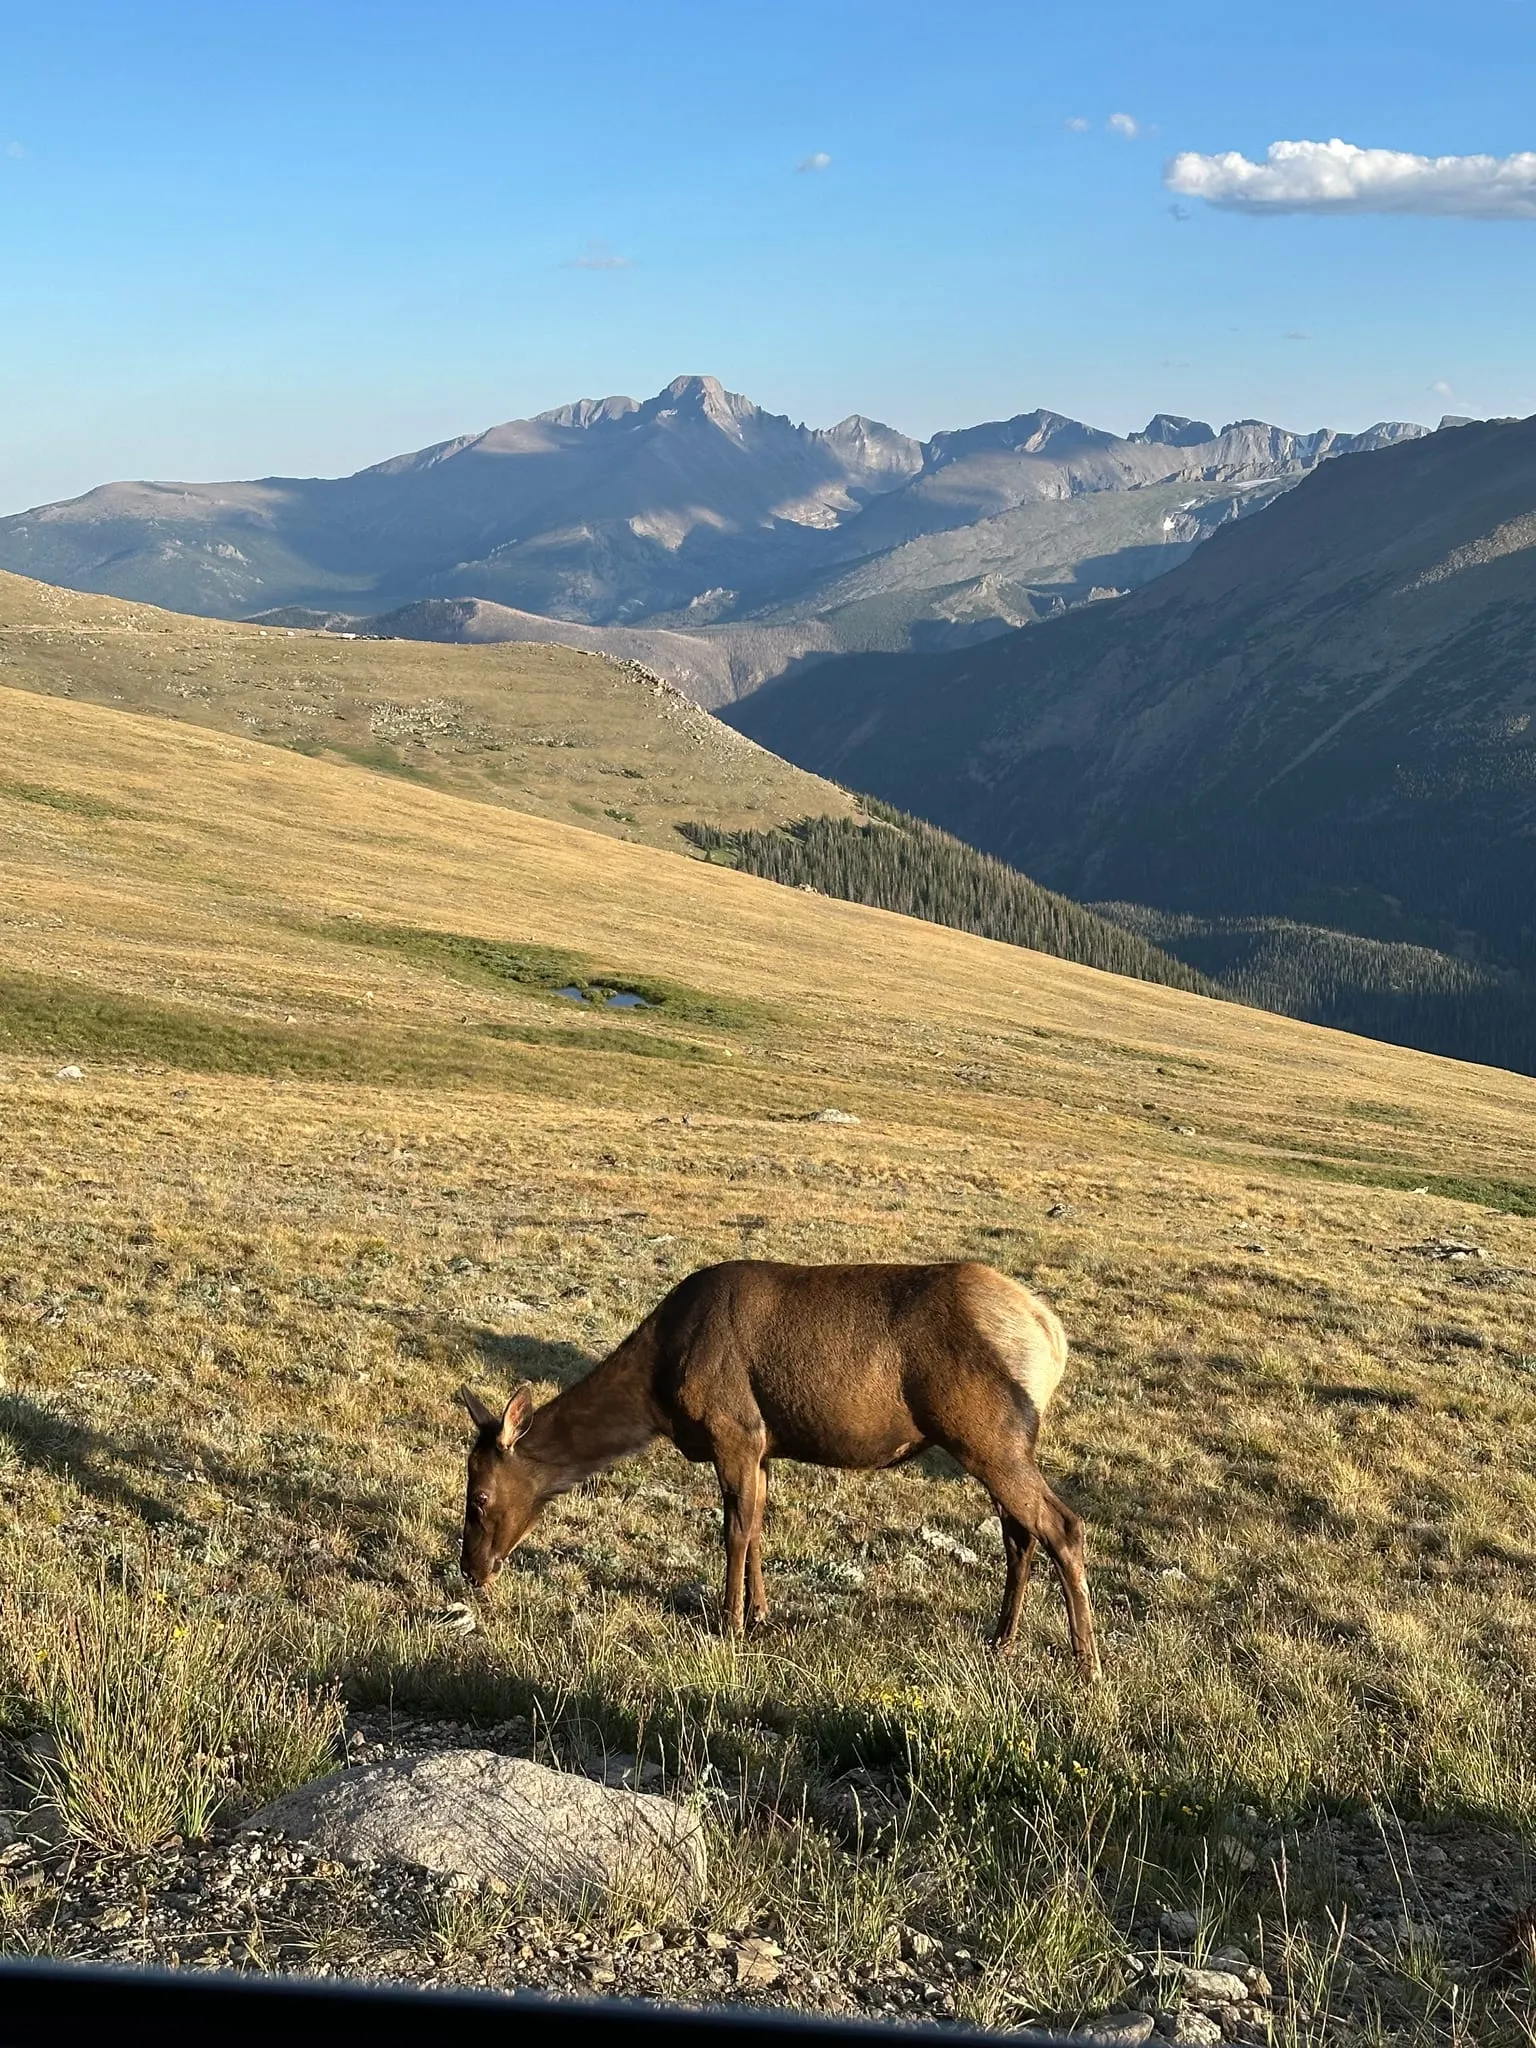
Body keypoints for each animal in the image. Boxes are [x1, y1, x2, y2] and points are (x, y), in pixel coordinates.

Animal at [457, 1258, 1099, 1675]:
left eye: (479, 1494)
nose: (471, 1570)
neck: (658, 1392)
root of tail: (1052, 1336)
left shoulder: (733, 1428)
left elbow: (734, 1530)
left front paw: (731, 1624)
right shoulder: (763, 1445)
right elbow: (760, 1525)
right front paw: (761, 1613)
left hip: (987, 1432)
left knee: (1061, 1525)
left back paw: (1085, 1662)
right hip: (999, 1443)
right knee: (1020, 1534)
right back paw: (1001, 1641)